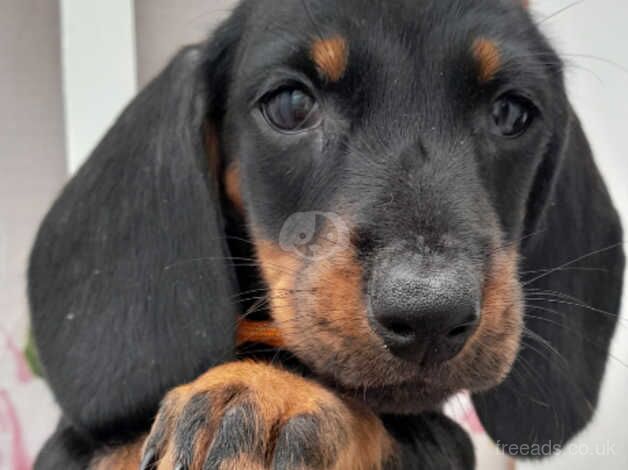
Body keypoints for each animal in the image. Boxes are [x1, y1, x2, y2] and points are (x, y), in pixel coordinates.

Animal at [28, 0, 624, 470]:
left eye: (512, 112)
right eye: (291, 104)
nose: (430, 316)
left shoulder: (442, 440)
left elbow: (394, 424)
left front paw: (270, 394)